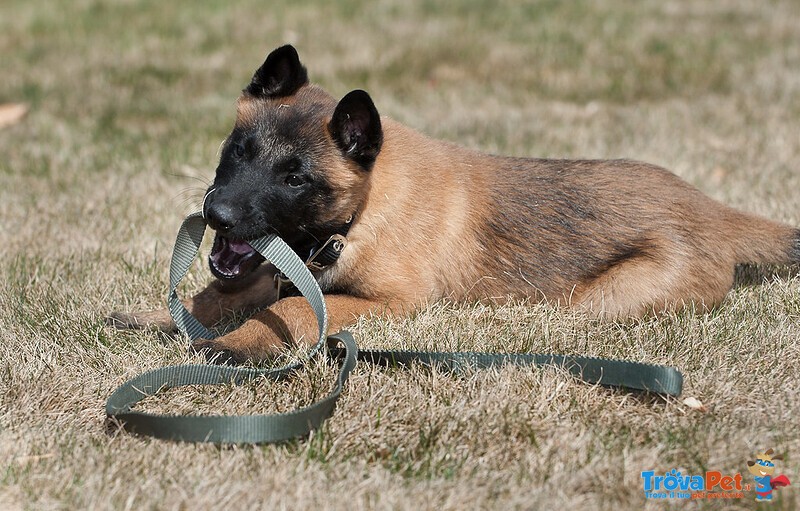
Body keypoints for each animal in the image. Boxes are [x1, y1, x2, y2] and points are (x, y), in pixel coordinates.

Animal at [108, 45, 800, 364]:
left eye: (295, 178)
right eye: (239, 149)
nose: (218, 216)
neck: (363, 212)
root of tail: (711, 209)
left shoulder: (392, 302)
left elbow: (298, 311)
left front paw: (234, 344)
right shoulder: (273, 269)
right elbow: (217, 296)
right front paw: (160, 317)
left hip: (598, 301)